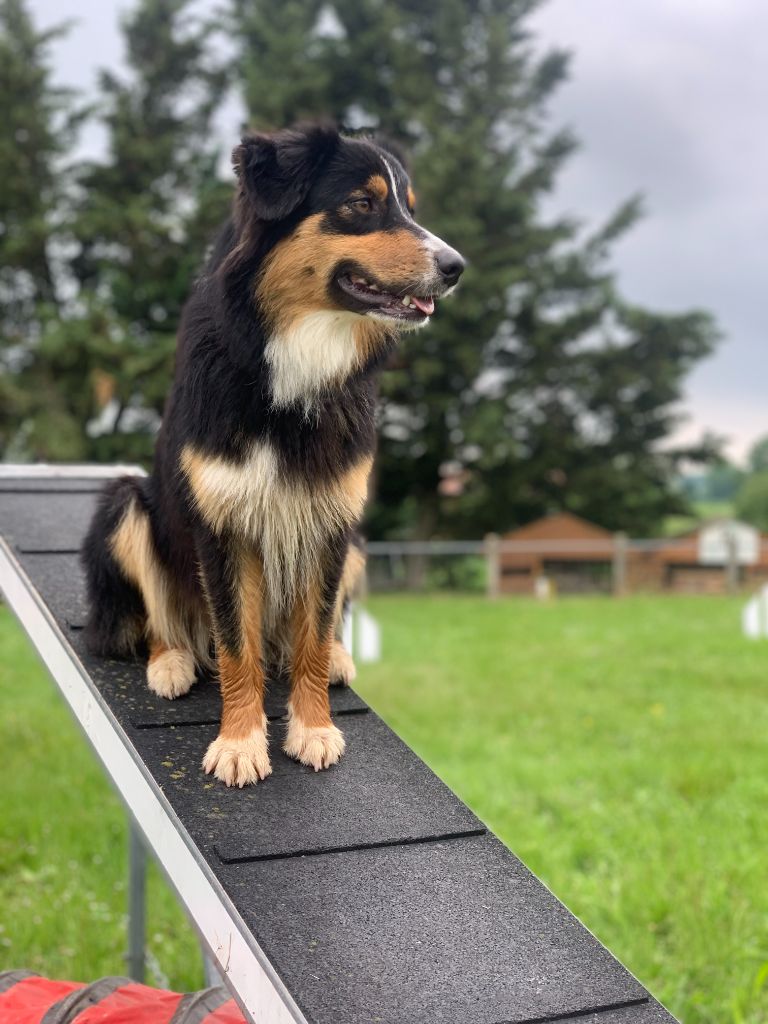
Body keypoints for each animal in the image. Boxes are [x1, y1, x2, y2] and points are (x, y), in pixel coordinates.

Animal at [82, 123, 465, 787]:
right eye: (361, 204)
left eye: (411, 209)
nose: (456, 267)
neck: (295, 352)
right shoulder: (223, 525)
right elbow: (238, 648)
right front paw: (239, 743)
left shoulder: (332, 518)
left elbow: (311, 635)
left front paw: (312, 728)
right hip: (126, 502)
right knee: (157, 619)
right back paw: (171, 662)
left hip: (357, 543)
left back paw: (338, 657)